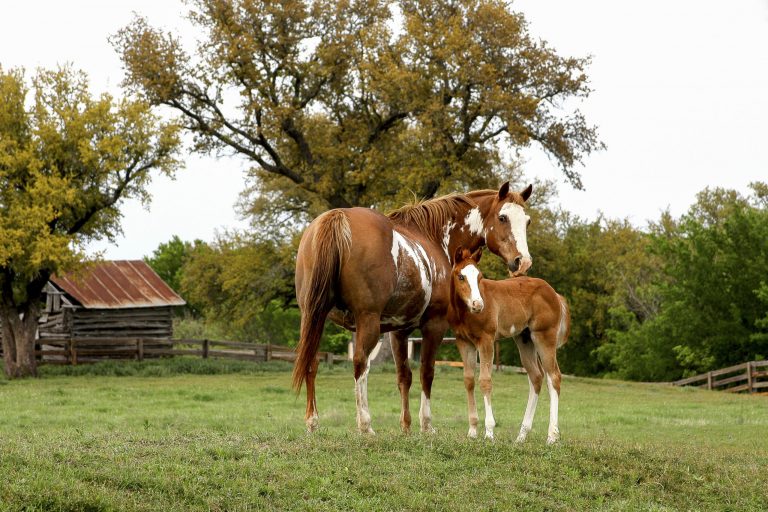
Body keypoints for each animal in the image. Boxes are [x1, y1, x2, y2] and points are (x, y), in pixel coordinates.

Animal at [293, 182, 534, 434]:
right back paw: (365, 424)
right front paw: (426, 424)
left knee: (311, 361)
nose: (522, 262)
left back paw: (313, 421)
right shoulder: (434, 325)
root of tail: (337, 217)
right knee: (360, 363)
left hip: (313, 316)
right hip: (366, 320)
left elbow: (404, 376)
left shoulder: (398, 331)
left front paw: (406, 426)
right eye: (503, 217)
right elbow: (426, 372)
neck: (435, 237)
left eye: (527, 221)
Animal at [447, 246, 570, 444]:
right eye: (461, 276)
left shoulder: (486, 340)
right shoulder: (464, 342)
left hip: (544, 337)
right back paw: (521, 436)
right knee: (536, 377)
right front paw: (472, 431)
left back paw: (552, 436)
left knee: (554, 377)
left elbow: (485, 381)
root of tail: (554, 294)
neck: (465, 313)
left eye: (480, 276)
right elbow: (469, 381)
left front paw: (489, 433)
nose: (478, 305)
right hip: (524, 339)